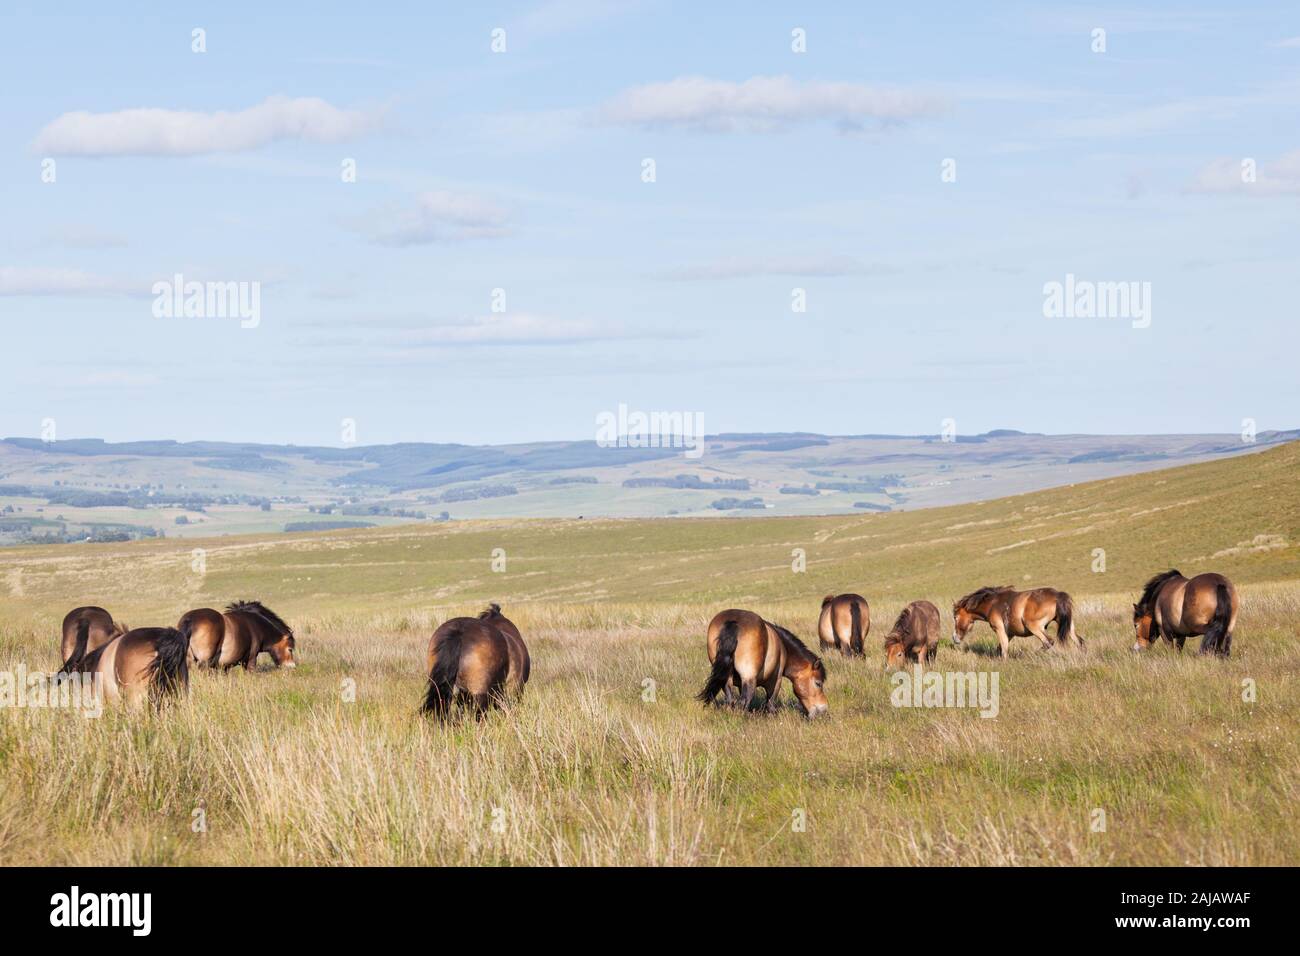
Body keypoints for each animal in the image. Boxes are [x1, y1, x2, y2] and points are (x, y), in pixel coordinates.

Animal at [696, 609, 828, 717]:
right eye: (818, 683)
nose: (823, 710)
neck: (783, 647)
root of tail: (733, 622)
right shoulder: (776, 681)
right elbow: (770, 704)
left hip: (726, 679)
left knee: (731, 700)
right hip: (749, 678)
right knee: (744, 701)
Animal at [952, 585, 1081, 658]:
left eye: (956, 617)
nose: (954, 638)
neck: (992, 604)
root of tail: (1057, 595)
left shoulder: (999, 630)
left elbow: (1004, 649)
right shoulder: (1010, 633)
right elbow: (1000, 648)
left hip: (1034, 626)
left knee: (1048, 642)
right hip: (1069, 627)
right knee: (1079, 642)